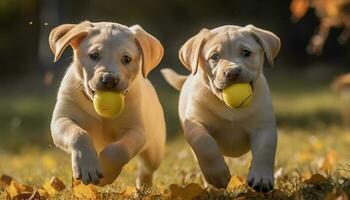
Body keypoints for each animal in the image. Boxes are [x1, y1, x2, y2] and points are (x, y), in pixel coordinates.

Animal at [48, 21, 167, 187]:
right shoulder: (61, 120)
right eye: (94, 55)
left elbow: (119, 150)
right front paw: (88, 166)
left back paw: (144, 187)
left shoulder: (136, 131)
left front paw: (106, 169)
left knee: (147, 169)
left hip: (154, 150)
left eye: (126, 59)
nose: (109, 80)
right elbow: (79, 134)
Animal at [162, 25, 282, 192]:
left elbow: (265, 149)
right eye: (214, 57)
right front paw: (218, 176)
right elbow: (204, 144)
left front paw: (261, 177)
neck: (228, 107)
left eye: (246, 53)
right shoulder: (194, 123)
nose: (232, 72)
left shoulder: (263, 127)